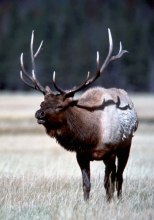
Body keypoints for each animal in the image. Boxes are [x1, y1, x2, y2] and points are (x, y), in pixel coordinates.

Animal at [19, 28, 138, 201]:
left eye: (59, 105)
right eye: (42, 103)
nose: (38, 113)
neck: (91, 137)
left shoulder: (110, 151)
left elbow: (107, 183)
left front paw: (109, 203)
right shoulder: (81, 155)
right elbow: (86, 184)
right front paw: (86, 203)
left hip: (125, 145)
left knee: (119, 176)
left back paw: (119, 199)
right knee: (116, 175)